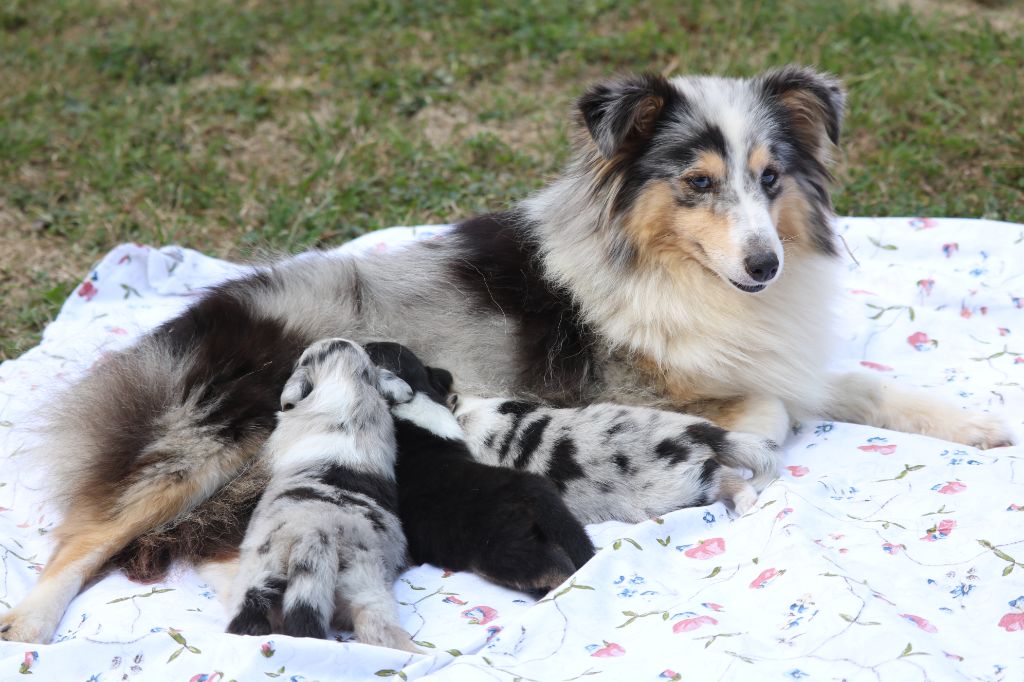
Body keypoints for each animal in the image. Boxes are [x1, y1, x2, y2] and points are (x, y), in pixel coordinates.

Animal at [366, 339, 593, 589]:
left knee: (552, 568)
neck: (418, 395)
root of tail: (532, 493)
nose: (367, 342)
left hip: (506, 547)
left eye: (369, 352)